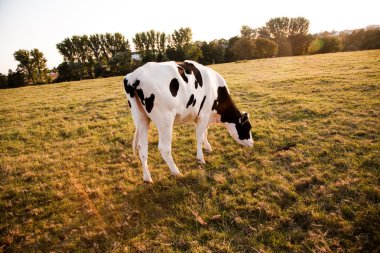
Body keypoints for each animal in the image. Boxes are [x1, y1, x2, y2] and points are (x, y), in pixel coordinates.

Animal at [123, 60, 252, 184]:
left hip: (141, 119)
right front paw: (200, 158)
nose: (252, 143)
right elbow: (199, 137)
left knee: (142, 148)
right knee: (164, 148)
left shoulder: (202, 117)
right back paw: (176, 172)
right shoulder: (204, 114)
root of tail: (135, 76)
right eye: (248, 127)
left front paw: (208, 147)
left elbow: (205, 132)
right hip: (165, 121)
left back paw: (147, 178)